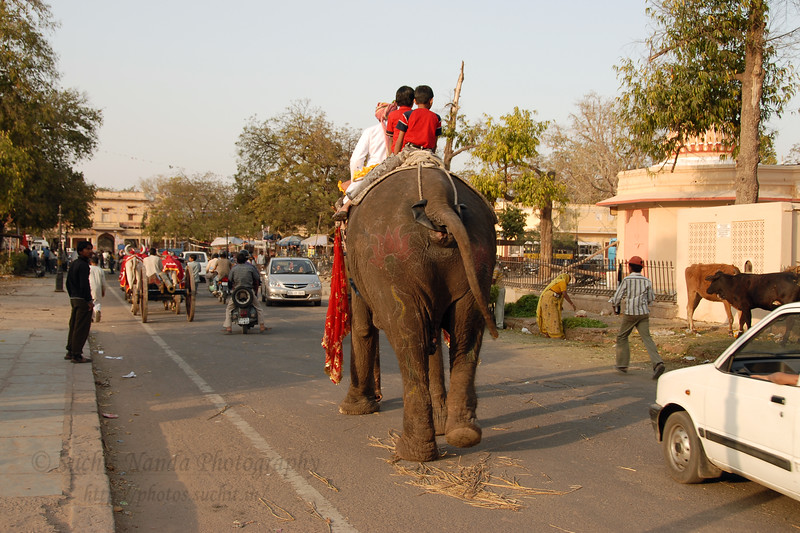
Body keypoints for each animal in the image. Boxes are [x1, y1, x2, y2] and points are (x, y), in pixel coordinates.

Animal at [340, 163, 500, 462]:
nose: (378, 397)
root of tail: (439, 200)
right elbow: (433, 337)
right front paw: (441, 424)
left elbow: (363, 326)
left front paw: (352, 409)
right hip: (480, 255)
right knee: (466, 331)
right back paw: (462, 434)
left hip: (388, 262)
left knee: (407, 336)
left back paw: (412, 451)